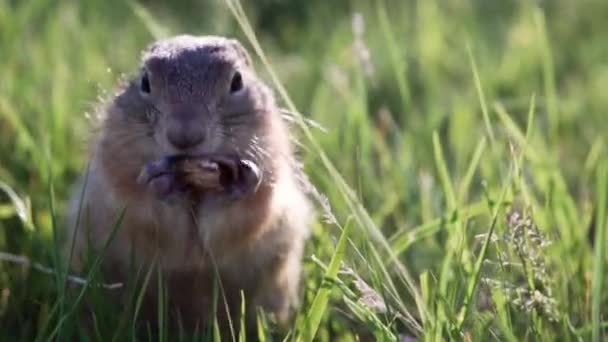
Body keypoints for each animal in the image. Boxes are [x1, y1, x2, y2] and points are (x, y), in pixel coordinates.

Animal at [66, 34, 314, 332]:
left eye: (237, 81)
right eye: (145, 81)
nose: (185, 136)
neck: (196, 187)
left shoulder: (271, 170)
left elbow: (248, 214)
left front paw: (241, 185)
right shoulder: (117, 170)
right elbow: (142, 209)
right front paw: (160, 184)